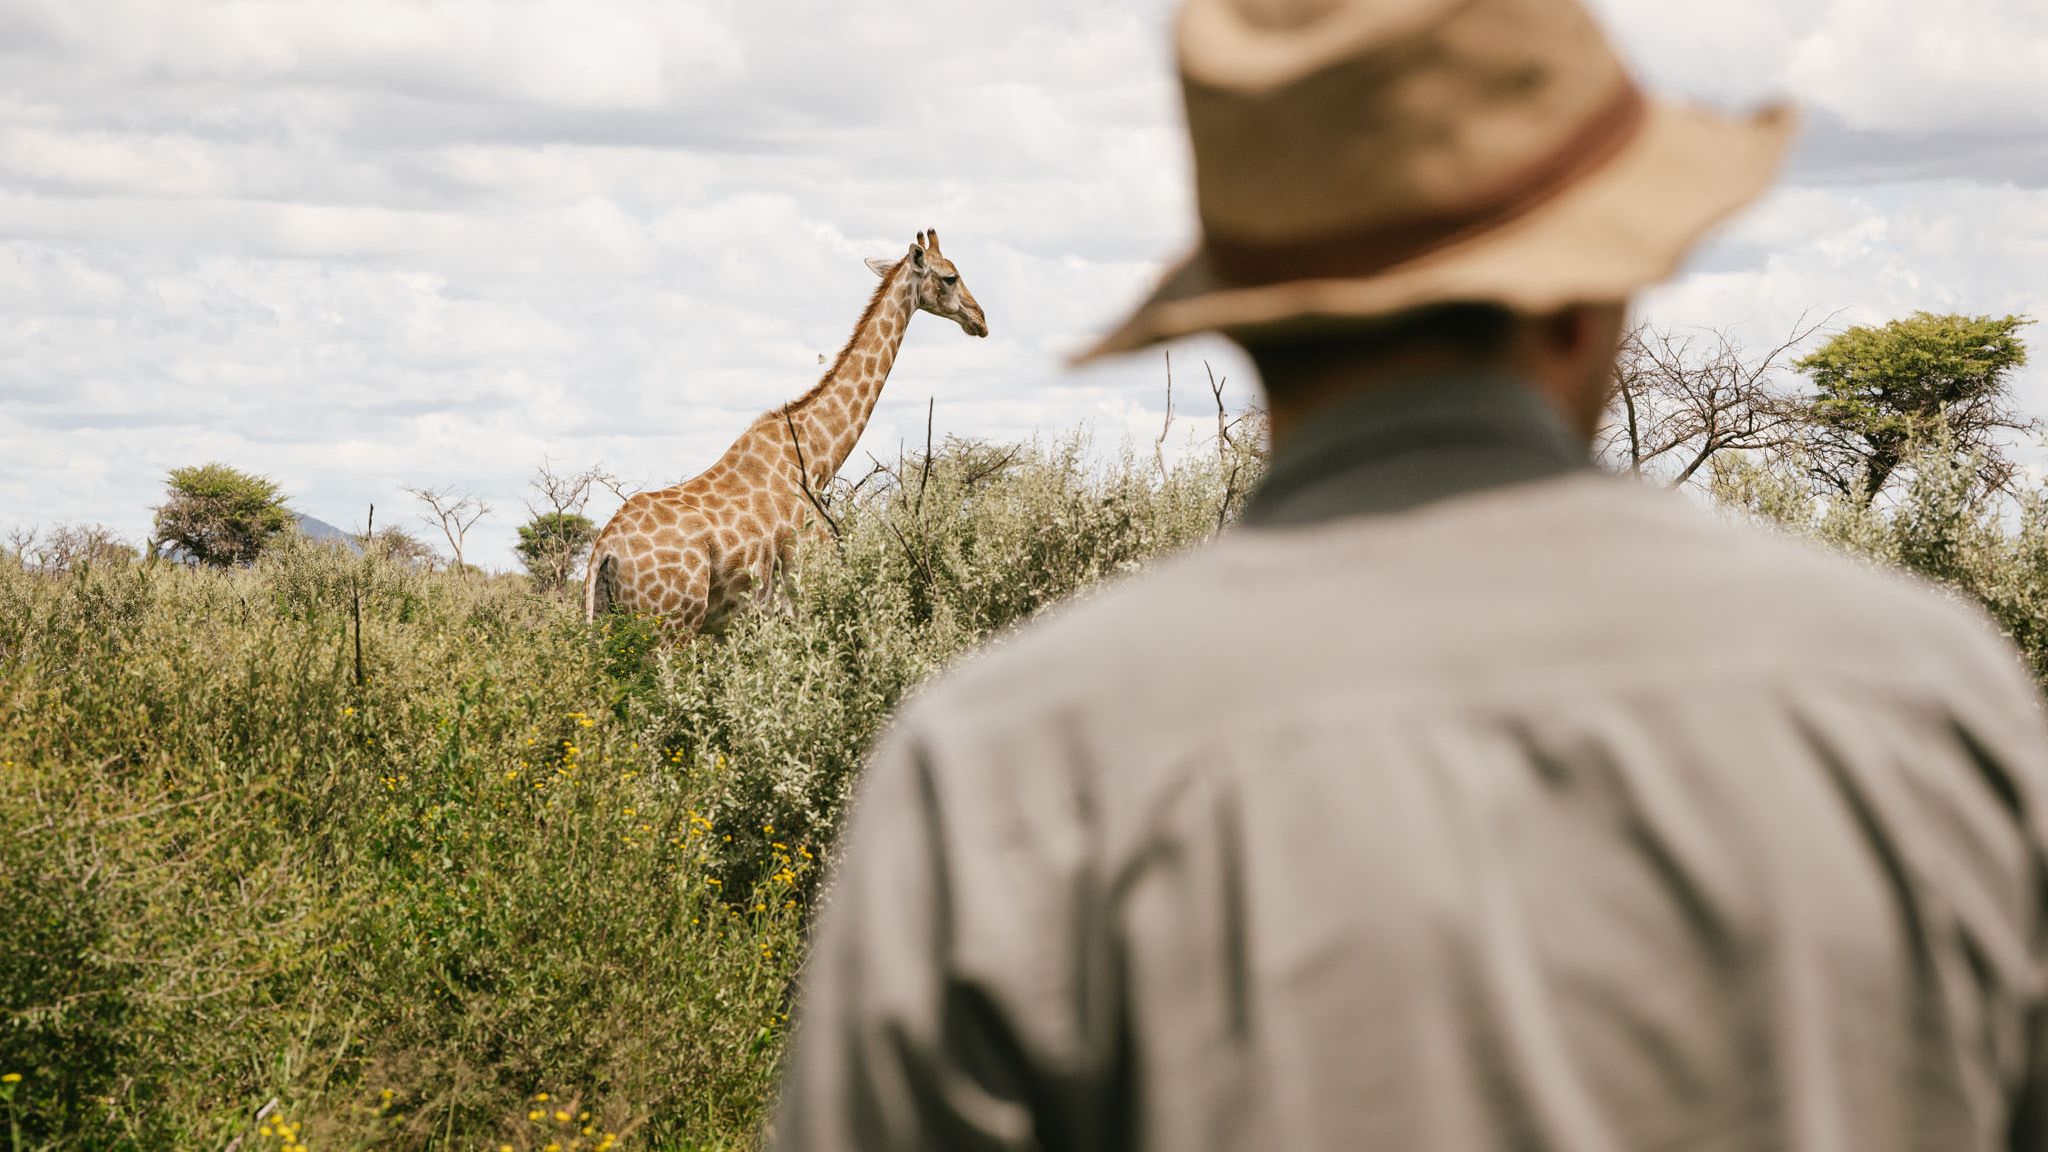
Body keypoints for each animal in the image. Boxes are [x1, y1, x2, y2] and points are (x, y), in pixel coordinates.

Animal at [585, 228, 991, 631]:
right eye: (950, 276)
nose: (981, 319)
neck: (816, 458)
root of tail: (603, 552)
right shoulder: (800, 591)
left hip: (611, 621)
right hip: (672, 622)